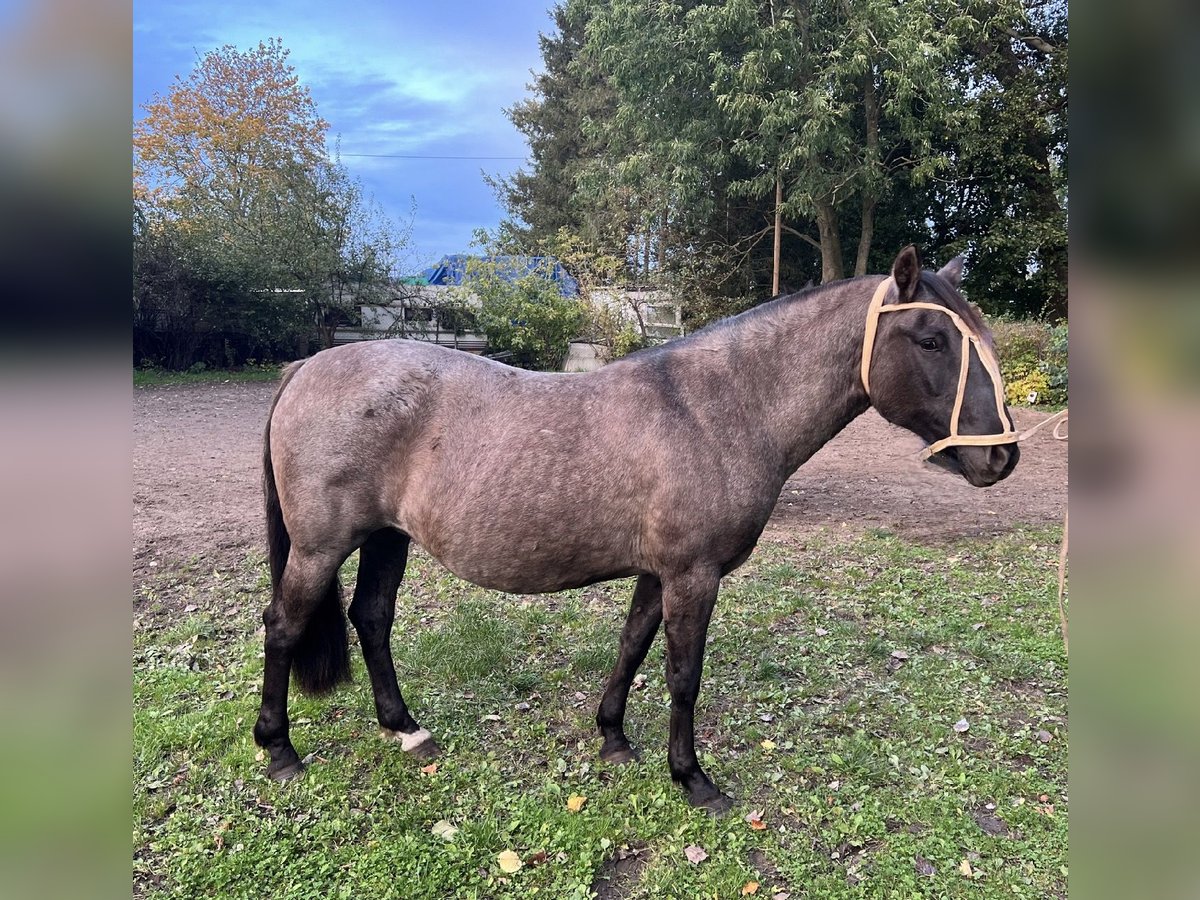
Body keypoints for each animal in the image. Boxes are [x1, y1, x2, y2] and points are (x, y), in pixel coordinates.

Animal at [255, 243, 1022, 816]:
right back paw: (280, 749)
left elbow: (631, 646)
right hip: (321, 548)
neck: (716, 408)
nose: (1002, 457)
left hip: (387, 537)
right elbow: (684, 674)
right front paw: (693, 779)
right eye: (931, 340)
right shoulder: (693, 575)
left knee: (372, 617)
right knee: (285, 625)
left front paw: (614, 739)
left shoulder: (659, 572)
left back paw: (406, 730)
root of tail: (307, 368)